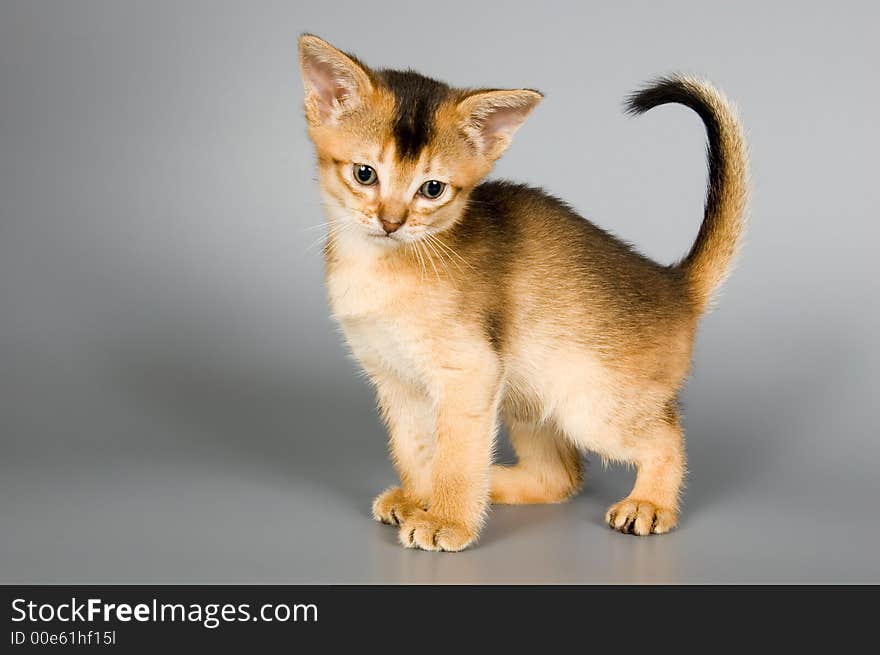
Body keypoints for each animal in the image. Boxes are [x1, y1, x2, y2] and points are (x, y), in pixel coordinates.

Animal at [300, 34, 744, 548]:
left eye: (432, 189)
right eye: (364, 174)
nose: (392, 222)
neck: (380, 266)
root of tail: (674, 285)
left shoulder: (470, 371)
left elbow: (457, 456)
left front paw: (447, 519)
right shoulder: (394, 376)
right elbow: (414, 448)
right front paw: (418, 496)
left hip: (590, 405)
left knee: (666, 435)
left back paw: (649, 503)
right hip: (526, 394)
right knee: (561, 477)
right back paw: (489, 483)